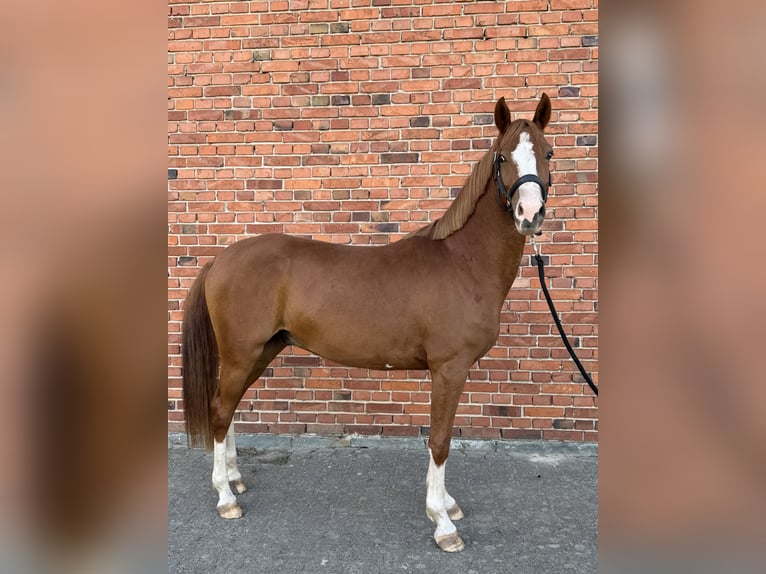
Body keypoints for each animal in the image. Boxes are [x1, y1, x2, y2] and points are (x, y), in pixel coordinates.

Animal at [182, 93, 554, 552]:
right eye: (503, 156)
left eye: (548, 153)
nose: (529, 214)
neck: (463, 262)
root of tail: (220, 259)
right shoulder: (449, 369)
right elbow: (440, 440)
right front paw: (442, 522)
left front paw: (446, 506)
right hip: (241, 353)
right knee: (220, 409)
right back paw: (225, 498)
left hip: (261, 351)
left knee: (228, 408)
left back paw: (234, 479)